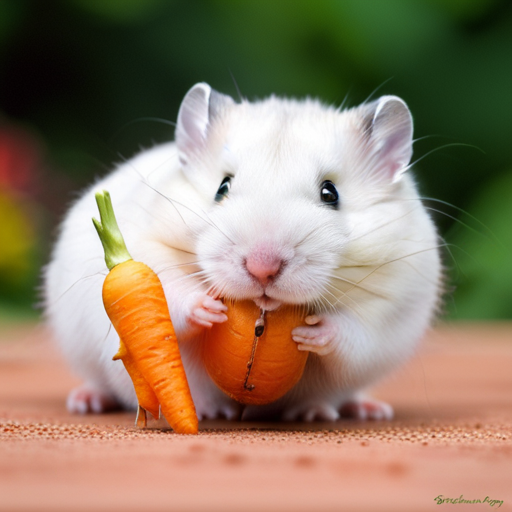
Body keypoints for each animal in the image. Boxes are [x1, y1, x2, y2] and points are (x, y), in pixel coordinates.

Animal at [44, 83, 442, 420]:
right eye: (222, 187)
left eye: (331, 193)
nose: (263, 269)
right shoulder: (146, 252)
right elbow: (170, 296)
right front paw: (209, 309)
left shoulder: (390, 308)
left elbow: (351, 333)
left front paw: (310, 334)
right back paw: (95, 403)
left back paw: (348, 410)